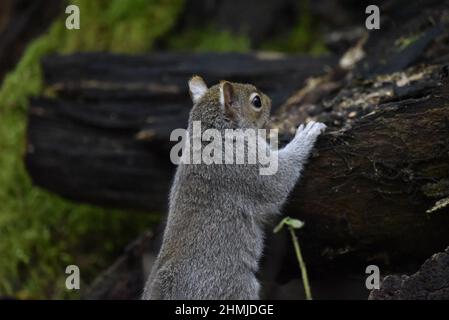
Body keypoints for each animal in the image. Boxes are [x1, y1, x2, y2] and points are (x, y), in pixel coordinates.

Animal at [141, 75, 326, 300]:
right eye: (256, 102)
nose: (270, 100)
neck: (213, 135)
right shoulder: (246, 164)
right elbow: (279, 180)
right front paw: (305, 136)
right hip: (232, 289)